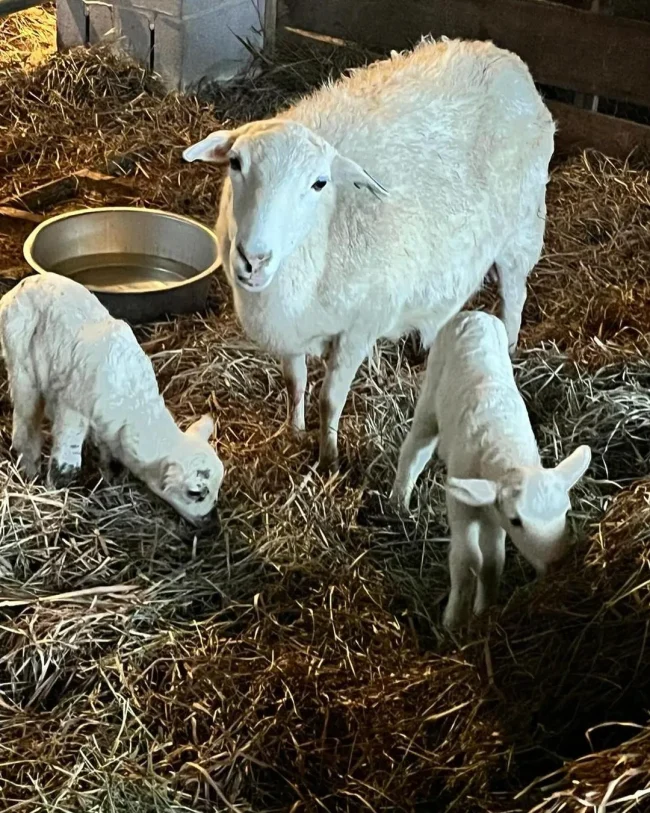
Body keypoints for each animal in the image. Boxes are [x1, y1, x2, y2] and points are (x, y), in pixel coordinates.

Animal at [0, 273, 224, 524]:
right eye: (194, 493)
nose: (212, 525)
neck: (133, 401)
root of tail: (20, 287)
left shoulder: (109, 425)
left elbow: (111, 457)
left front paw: (111, 481)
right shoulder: (73, 407)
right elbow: (66, 462)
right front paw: (56, 493)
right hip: (21, 362)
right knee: (25, 425)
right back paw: (30, 471)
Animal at [183, 36, 555, 471]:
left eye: (319, 183)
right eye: (235, 163)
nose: (253, 259)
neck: (320, 240)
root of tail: (504, 56)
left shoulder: (357, 329)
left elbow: (329, 400)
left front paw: (328, 458)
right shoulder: (290, 329)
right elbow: (295, 382)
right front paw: (294, 431)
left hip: (521, 231)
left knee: (514, 298)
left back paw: (510, 349)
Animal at [390, 310, 591, 629]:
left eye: (566, 512)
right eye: (517, 521)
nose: (558, 565)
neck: (505, 449)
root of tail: (476, 313)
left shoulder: (493, 514)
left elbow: (494, 562)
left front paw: (484, 610)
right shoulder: (463, 505)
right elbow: (466, 561)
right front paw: (454, 621)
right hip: (431, 391)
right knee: (415, 450)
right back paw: (398, 503)